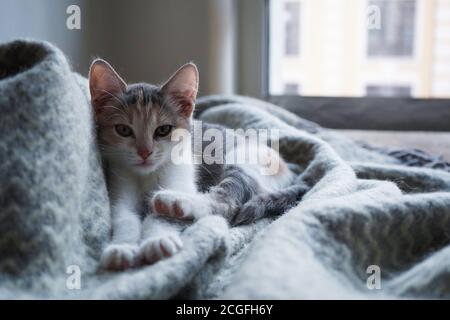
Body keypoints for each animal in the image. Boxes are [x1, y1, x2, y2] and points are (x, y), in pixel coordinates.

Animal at [88, 59, 298, 270]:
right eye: (123, 130)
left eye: (163, 130)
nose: (145, 152)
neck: (147, 175)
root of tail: (290, 170)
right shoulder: (120, 189)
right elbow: (124, 217)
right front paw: (121, 247)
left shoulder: (181, 176)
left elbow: (160, 218)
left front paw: (157, 240)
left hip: (242, 161)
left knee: (227, 203)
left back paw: (175, 202)